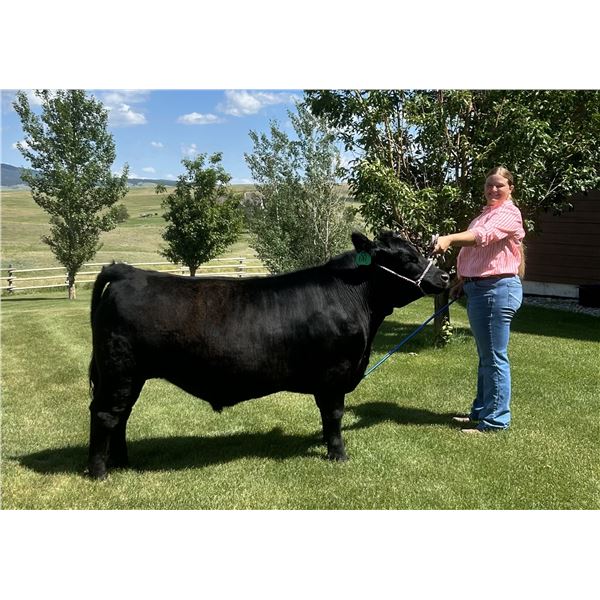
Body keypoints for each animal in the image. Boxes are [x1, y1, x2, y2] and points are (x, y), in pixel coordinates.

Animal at [88, 231, 449, 479]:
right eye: (406, 258)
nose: (443, 276)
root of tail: (128, 272)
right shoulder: (335, 374)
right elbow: (334, 415)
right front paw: (338, 454)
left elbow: (326, 416)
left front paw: (325, 444)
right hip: (120, 370)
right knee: (106, 415)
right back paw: (99, 471)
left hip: (128, 375)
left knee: (121, 415)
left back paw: (122, 462)